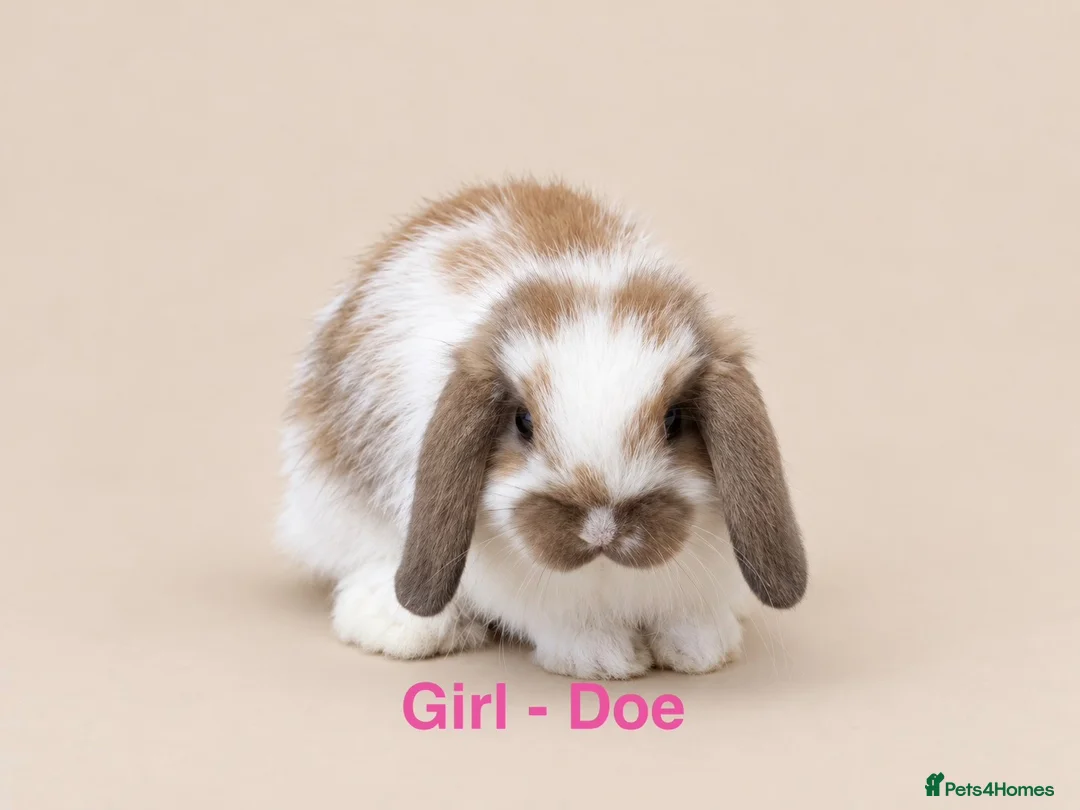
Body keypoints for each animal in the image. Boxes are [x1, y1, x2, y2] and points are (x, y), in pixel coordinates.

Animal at [276, 178, 807, 679]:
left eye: (674, 419)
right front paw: (600, 659)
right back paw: (398, 624)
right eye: (523, 421)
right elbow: (570, 624)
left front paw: (700, 650)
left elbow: (686, 619)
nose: (601, 527)